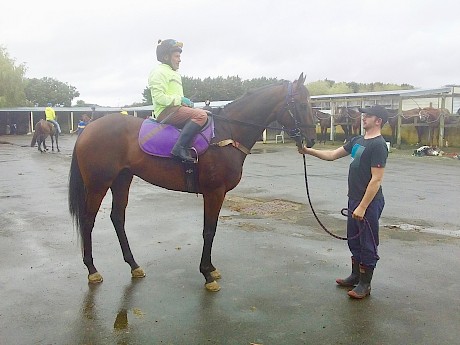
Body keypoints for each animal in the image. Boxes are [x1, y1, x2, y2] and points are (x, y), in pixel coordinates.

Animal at [68, 74, 318, 292]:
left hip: (122, 180)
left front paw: (211, 269)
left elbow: (212, 229)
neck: (227, 133)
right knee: (88, 221)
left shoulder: (218, 194)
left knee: (117, 218)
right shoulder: (214, 192)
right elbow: (209, 231)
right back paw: (92, 269)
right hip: (98, 184)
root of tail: (89, 129)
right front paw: (207, 273)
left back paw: (133, 265)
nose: (312, 139)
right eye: (300, 104)